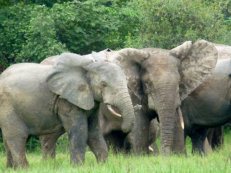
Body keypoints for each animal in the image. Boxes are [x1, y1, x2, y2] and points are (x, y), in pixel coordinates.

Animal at [0, 52, 135, 168]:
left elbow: (94, 132)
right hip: (7, 107)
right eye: (103, 84)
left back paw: (11, 168)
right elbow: (80, 131)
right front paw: (78, 167)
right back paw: (24, 168)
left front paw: (104, 165)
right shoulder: (66, 101)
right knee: (18, 137)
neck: (88, 66)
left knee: (10, 140)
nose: (123, 128)